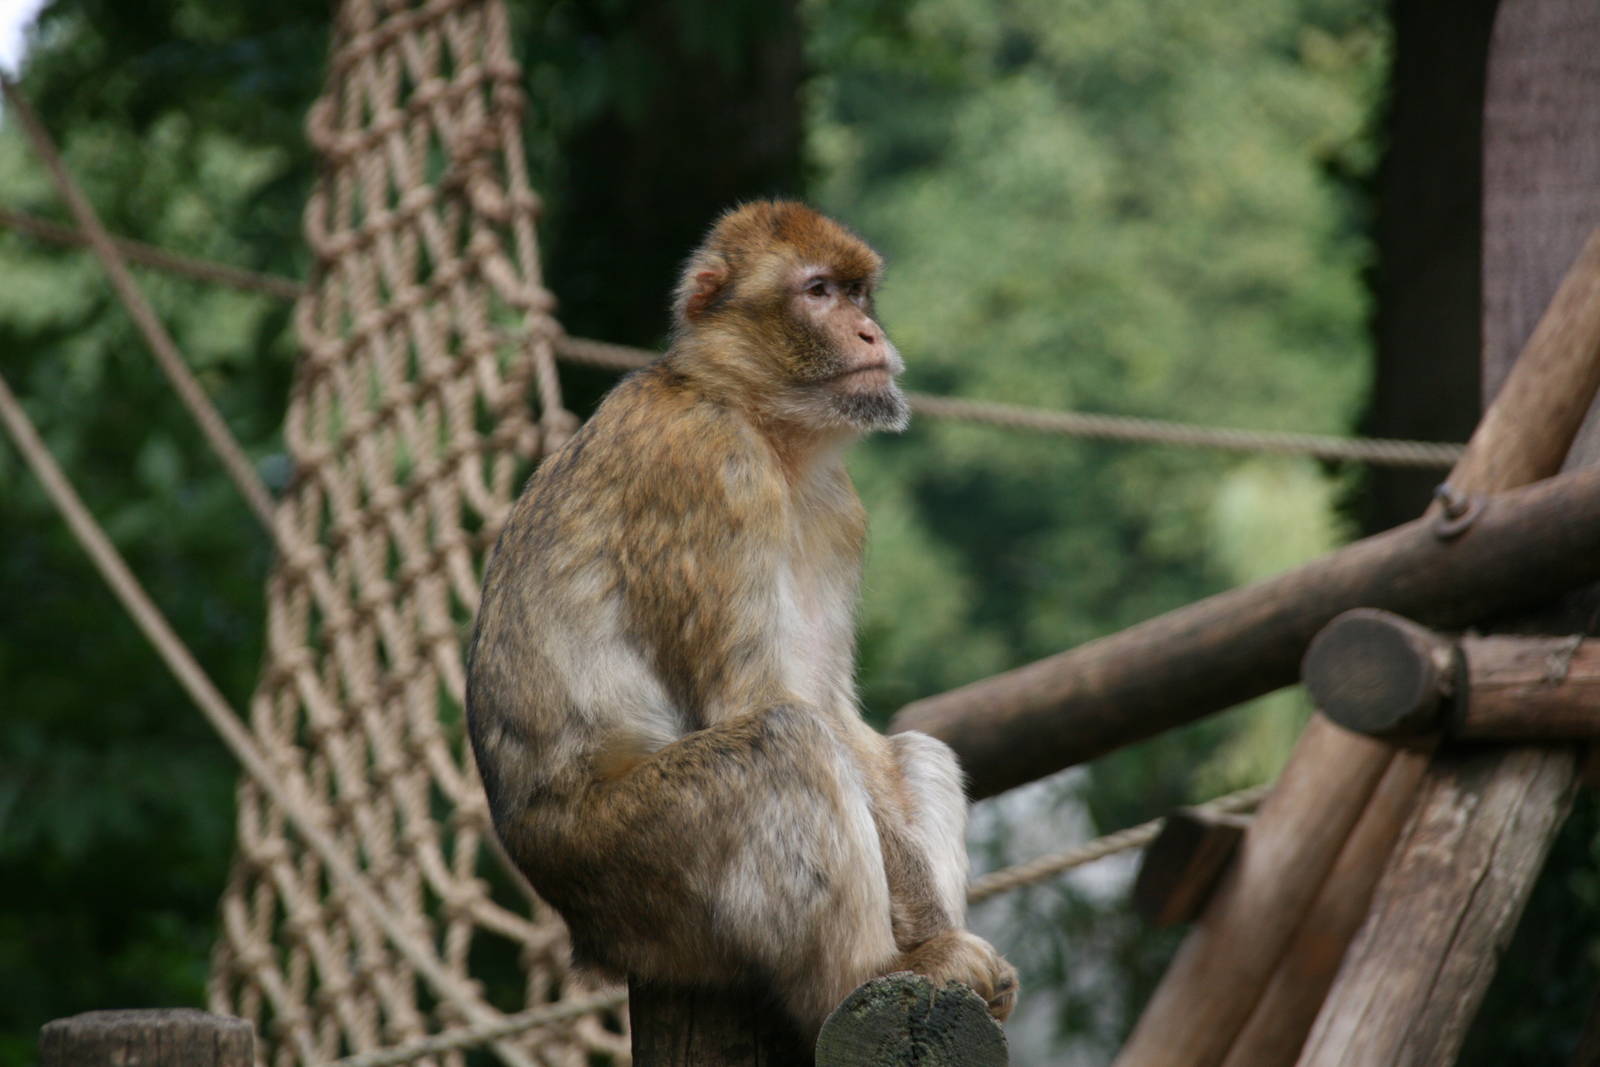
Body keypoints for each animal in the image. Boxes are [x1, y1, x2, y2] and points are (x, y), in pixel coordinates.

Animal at [466, 200, 1017, 1038]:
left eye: (859, 292)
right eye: (818, 292)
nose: (868, 332)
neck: (752, 413)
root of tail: (585, 934)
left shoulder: (836, 508)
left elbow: (831, 706)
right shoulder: (713, 471)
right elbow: (760, 700)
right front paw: (930, 930)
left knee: (910, 750)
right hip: (641, 876)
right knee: (781, 743)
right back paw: (873, 973)